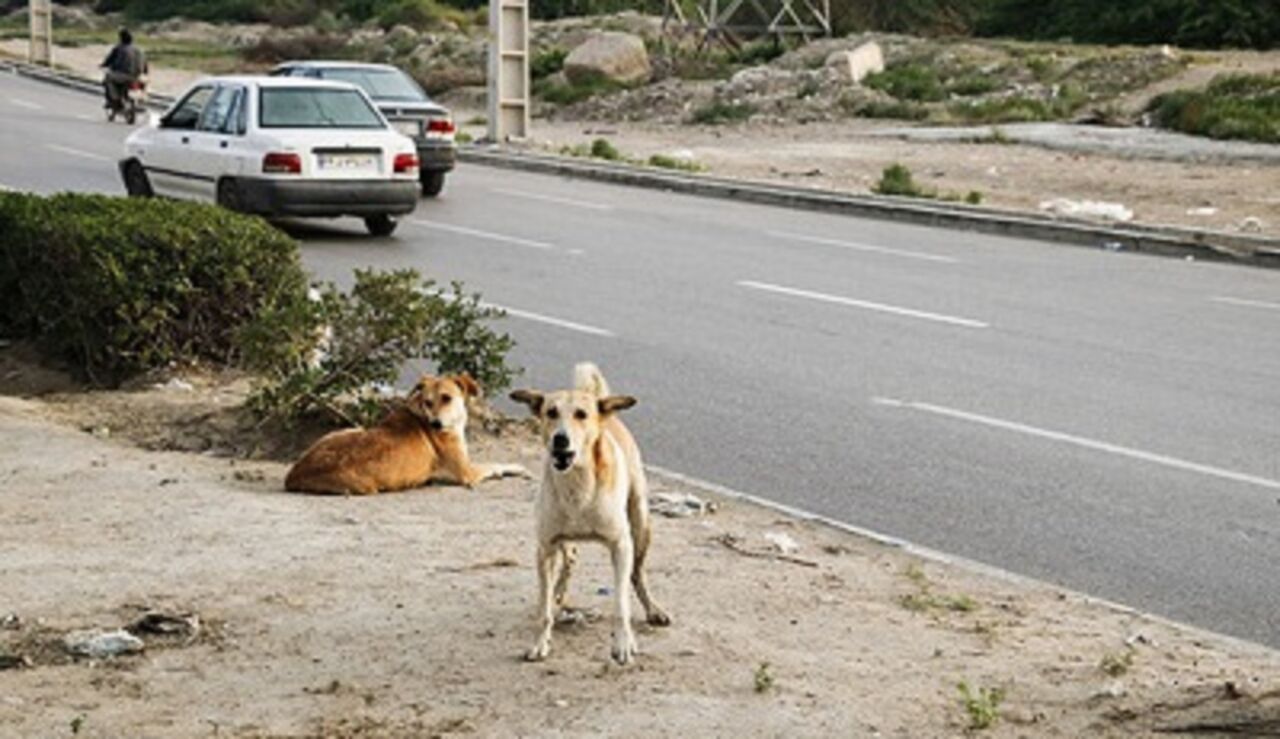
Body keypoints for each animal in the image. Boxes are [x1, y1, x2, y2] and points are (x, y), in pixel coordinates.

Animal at [286, 371, 529, 491]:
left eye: (447, 398)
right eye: (428, 402)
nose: (435, 424)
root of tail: (294, 475)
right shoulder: (467, 472)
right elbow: (496, 464)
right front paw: (518, 468)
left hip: (347, 430)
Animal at [509, 363, 670, 660]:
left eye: (581, 415)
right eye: (551, 412)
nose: (560, 439)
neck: (578, 484)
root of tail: (606, 409)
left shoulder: (621, 545)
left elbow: (621, 603)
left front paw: (623, 643)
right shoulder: (545, 547)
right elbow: (544, 607)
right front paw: (540, 641)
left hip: (641, 521)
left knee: (637, 573)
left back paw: (653, 609)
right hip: (561, 541)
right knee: (569, 559)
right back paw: (558, 592)